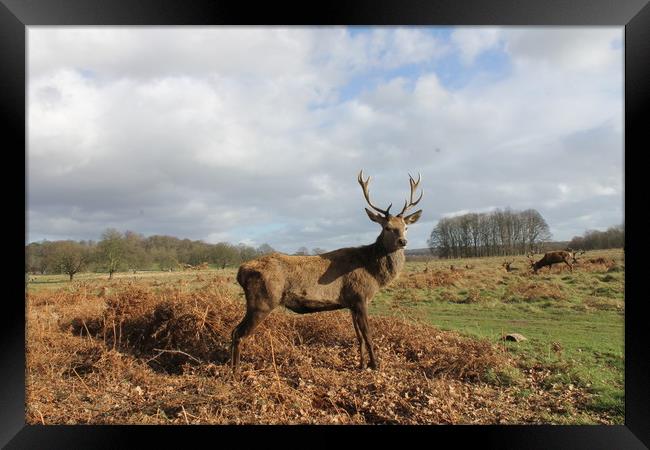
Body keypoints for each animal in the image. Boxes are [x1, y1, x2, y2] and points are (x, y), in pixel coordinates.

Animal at [230, 171, 422, 374]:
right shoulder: (360, 296)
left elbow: (359, 337)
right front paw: (375, 365)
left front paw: (361, 365)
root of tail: (241, 271)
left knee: (234, 331)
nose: (403, 241)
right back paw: (236, 372)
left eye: (406, 227)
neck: (373, 274)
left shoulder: (351, 302)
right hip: (263, 301)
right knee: (238, 333)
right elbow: (368, 336)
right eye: (387, 227)